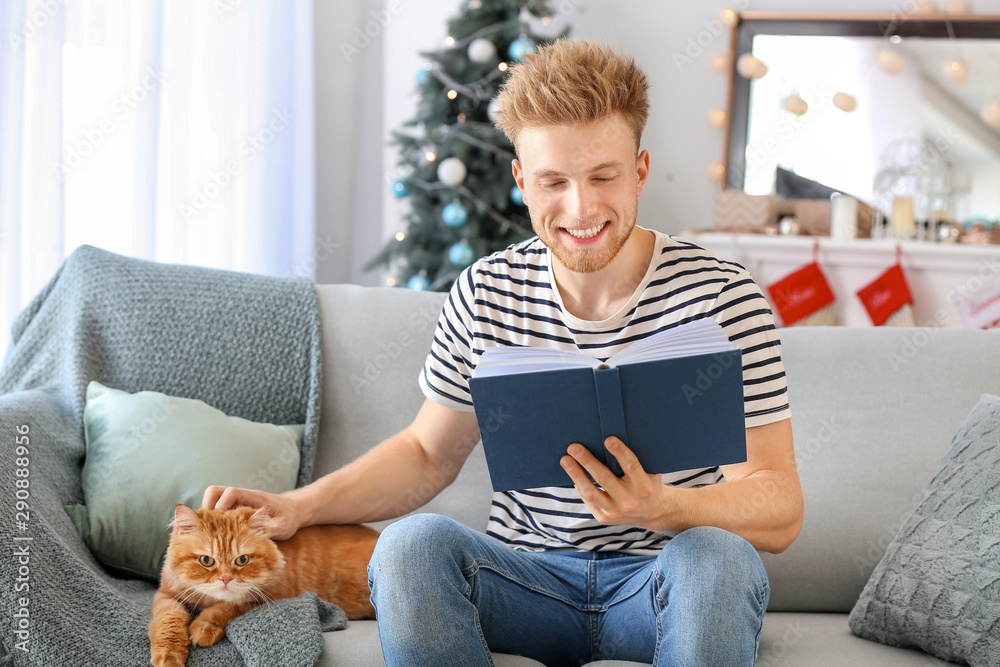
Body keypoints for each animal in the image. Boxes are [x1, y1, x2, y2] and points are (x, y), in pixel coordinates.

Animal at [148, 506, 378, 667]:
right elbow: (169, 620)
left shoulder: (265, 598)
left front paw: (203, 627)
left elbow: (225, 609)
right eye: (206, 560)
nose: (225, 579)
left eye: (242, 560)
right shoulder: (167, 594)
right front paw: (168, 654)